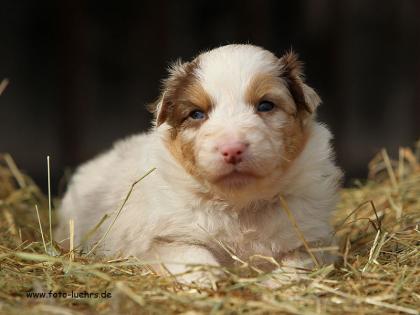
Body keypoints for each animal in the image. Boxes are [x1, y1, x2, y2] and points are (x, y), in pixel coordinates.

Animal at [55, 44, 342, 284]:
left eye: (265, 105)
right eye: (196, 114)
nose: (232, 149)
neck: (240, 206)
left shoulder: (314, 240)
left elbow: (299, 265)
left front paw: (274, 285)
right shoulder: (165, 240)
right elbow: (196, 257)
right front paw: (211, 280)